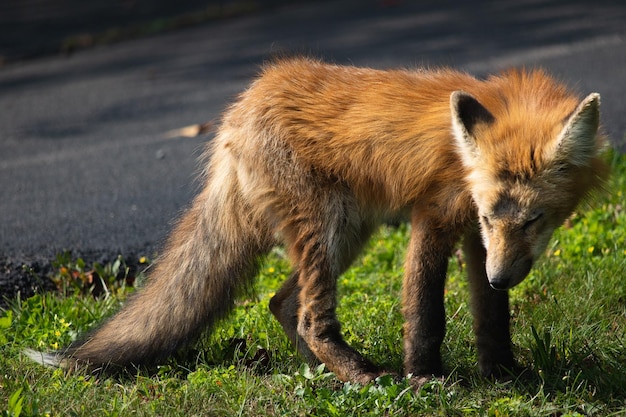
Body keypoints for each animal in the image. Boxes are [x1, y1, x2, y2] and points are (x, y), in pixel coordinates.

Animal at [25, 57, 604, 386]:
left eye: (534, 220)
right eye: (491, 214)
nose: (503, 277)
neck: (461, 161)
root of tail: (237, 111)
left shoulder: (476, 241)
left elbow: (491, 318)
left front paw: (504, 376)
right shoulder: (436, 218)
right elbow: (425, 314)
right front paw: (425, 379)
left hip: (347, 237)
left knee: (281, 304)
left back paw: (328, 376)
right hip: (327, 231)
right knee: (308, 318)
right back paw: (367, 379)